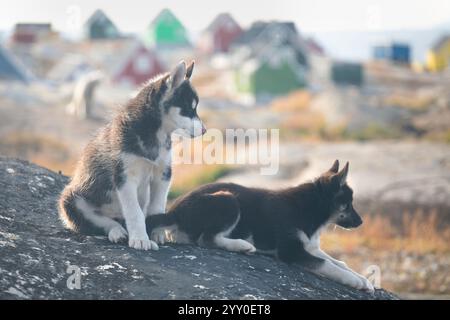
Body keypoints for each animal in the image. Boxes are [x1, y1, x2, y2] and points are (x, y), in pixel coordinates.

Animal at [58, 60, 206, 250]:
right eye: (188, 108)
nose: (204, 130)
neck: (155, 133)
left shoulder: (163, 174)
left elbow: (157, 206)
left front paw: (157, 231)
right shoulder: (125, 177)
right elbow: (135, 212)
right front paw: (141, 239)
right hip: (72, 200)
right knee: (100, 222)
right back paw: (117, 231)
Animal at [147, 160, 372, 292]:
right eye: (348, 204)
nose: (361, 222)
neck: (311, 208)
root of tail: (174, 210)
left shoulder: (309, 246)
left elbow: (338, 262)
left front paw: (364, 280)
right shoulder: (290, 250)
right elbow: (327, 264)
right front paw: (353, 281)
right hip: (228, 199)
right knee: (206, 239)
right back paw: (242, 245)